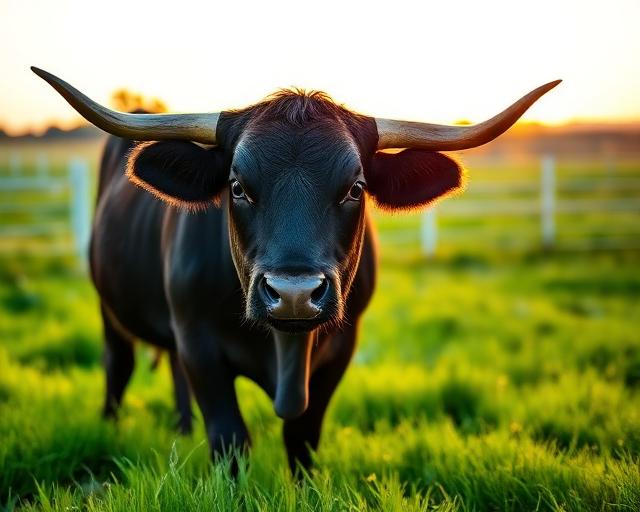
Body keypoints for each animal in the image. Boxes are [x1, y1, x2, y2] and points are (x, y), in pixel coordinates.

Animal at [32, 67, 559, 473]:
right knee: (117, 366)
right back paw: (111, 428)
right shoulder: (199, 341)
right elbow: (230, 439)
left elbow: (302, 438)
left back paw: (182, 430)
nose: (294, 293)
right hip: (111, 308)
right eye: (237, 186)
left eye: (355, 187)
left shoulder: (340, 348)